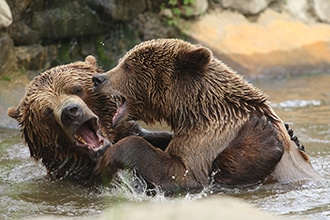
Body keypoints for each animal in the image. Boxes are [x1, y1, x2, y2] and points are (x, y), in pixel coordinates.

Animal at [92, 38, 320, 193]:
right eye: (122, 61)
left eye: (127, 66)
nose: (98, 78)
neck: (194, 110)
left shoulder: (209, 138)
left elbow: (180, 174)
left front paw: (108, 159)